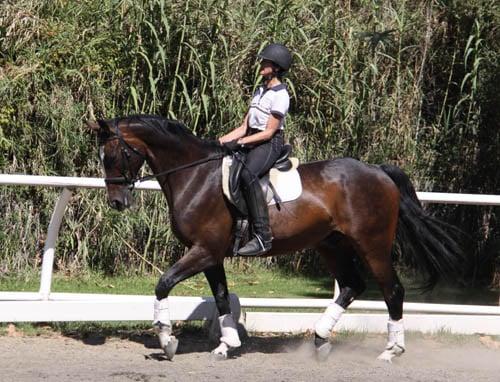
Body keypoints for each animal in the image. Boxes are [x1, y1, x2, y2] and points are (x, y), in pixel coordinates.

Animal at [88, 115, 462, 362]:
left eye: (114, 155)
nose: (117, 203)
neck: (195, 175)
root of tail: (378, 171)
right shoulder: (211, 255)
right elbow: (221, 299)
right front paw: (226, 345)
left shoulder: (203, 250)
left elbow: (163, 283)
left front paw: (167, 341)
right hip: (331, 244)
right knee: (351, 285)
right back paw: (320, 340)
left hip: (373, 245)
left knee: (391, 290)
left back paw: (391, 350)